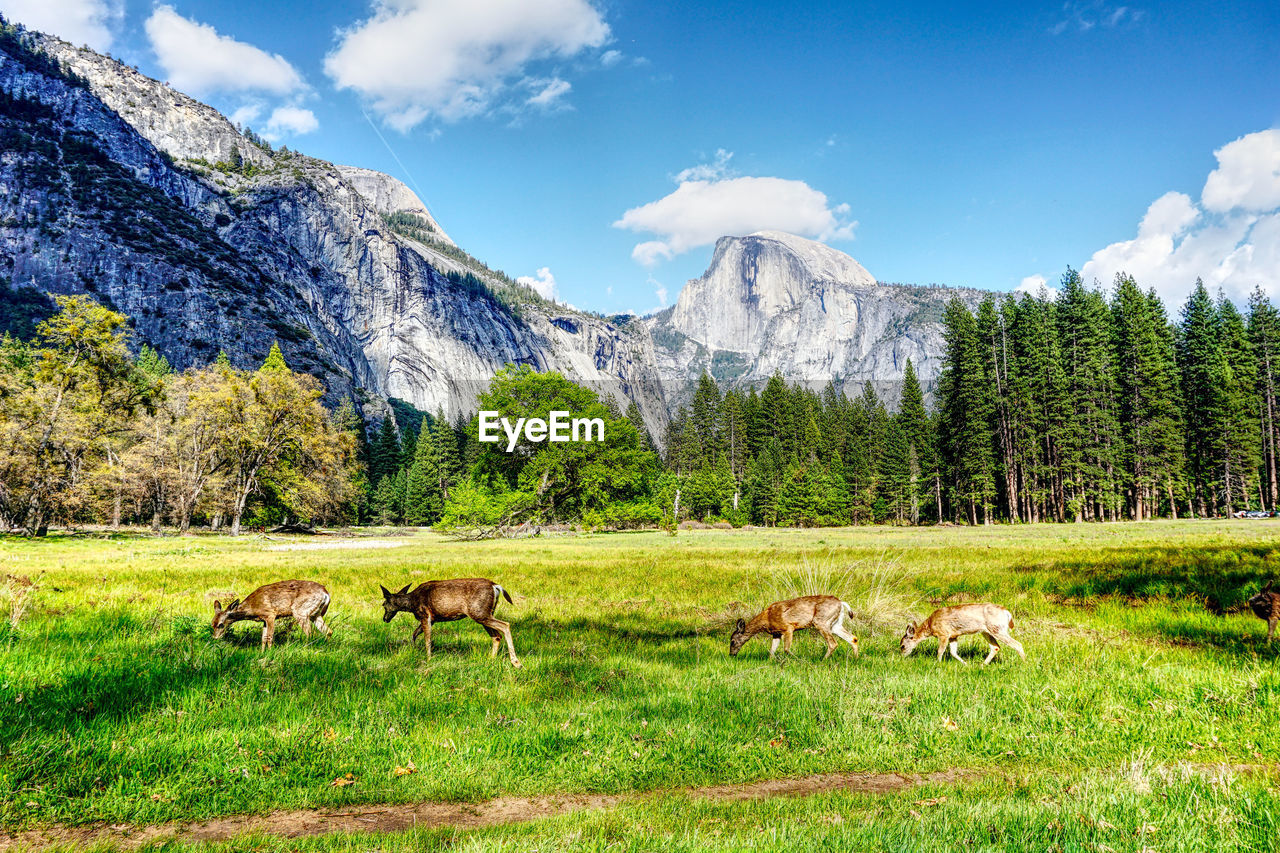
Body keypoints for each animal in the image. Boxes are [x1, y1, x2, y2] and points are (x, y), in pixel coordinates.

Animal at [378, 578, 519, 666]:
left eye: (384, 604)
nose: (385, 619)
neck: (412, 603)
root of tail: (495, 586)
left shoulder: (425, 615)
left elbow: (427, 640)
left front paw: (428, 659)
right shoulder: (432, 619)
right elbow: (414, 634)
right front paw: (414, 650)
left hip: (479, 612)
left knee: (505, 625)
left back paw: (516, 662)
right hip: (486, 613)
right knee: (496, 636)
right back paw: (491, 659)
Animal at [732, 591, 860, 655]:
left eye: (732, 641)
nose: (731, 654)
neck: (767, 618)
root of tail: (841, 603)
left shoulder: (788, 627)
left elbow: (786, 649)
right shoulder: (776, 633)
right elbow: (772, 651)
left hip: (821, 621)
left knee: (833, 644)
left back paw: (823, 660)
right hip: (835, 624)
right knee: (853, 638)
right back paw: (854, 659)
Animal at [901, 596, 1029, 666]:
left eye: (902, 645)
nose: (902, 656)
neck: (930, 626)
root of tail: (1007, 612)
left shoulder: (944, 634)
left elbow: (940, 651)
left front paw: (938, 664)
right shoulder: (953, 636)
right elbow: (953, 652)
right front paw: (965, 664)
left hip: (997, 628)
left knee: (1017, 644)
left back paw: (1024, 664)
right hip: (986, 631)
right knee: (995, 647)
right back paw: (982, 665)